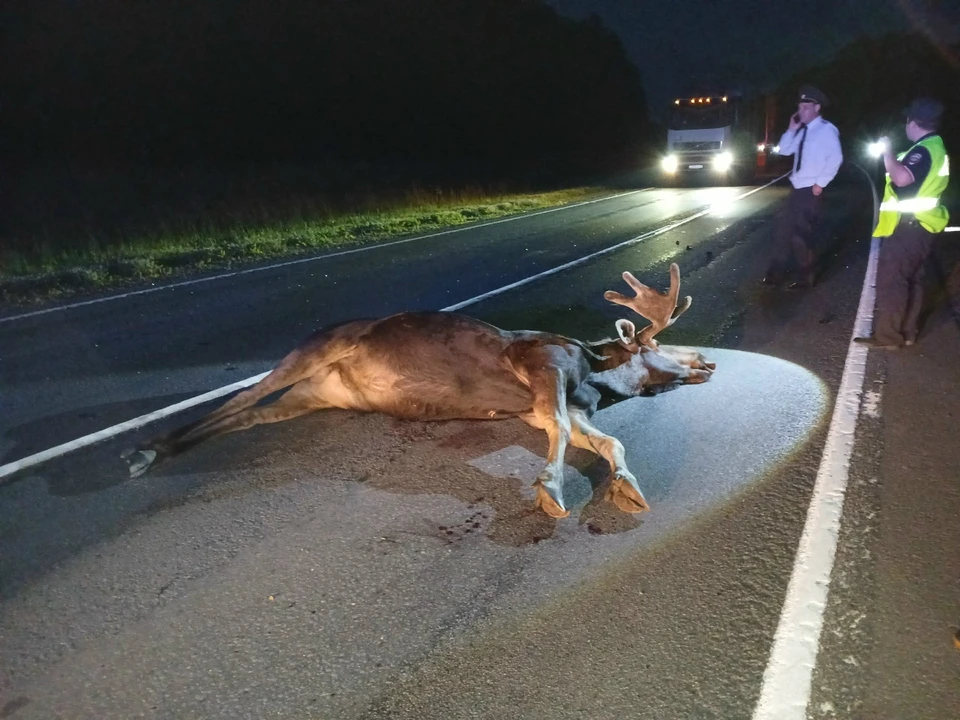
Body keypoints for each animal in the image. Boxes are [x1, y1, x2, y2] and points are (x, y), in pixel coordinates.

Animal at [124, 264, 714, 519]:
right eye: (666, 342)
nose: (707, 362)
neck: (594, 372)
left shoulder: (541, 408)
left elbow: (604, 441)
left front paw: (626, 485)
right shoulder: (540, 365)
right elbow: (566, 432)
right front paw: (550, 489)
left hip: (314, 392)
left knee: (250, 414)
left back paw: (161, 448)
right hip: (314, 350)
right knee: (243, 398)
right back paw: (147, 448)